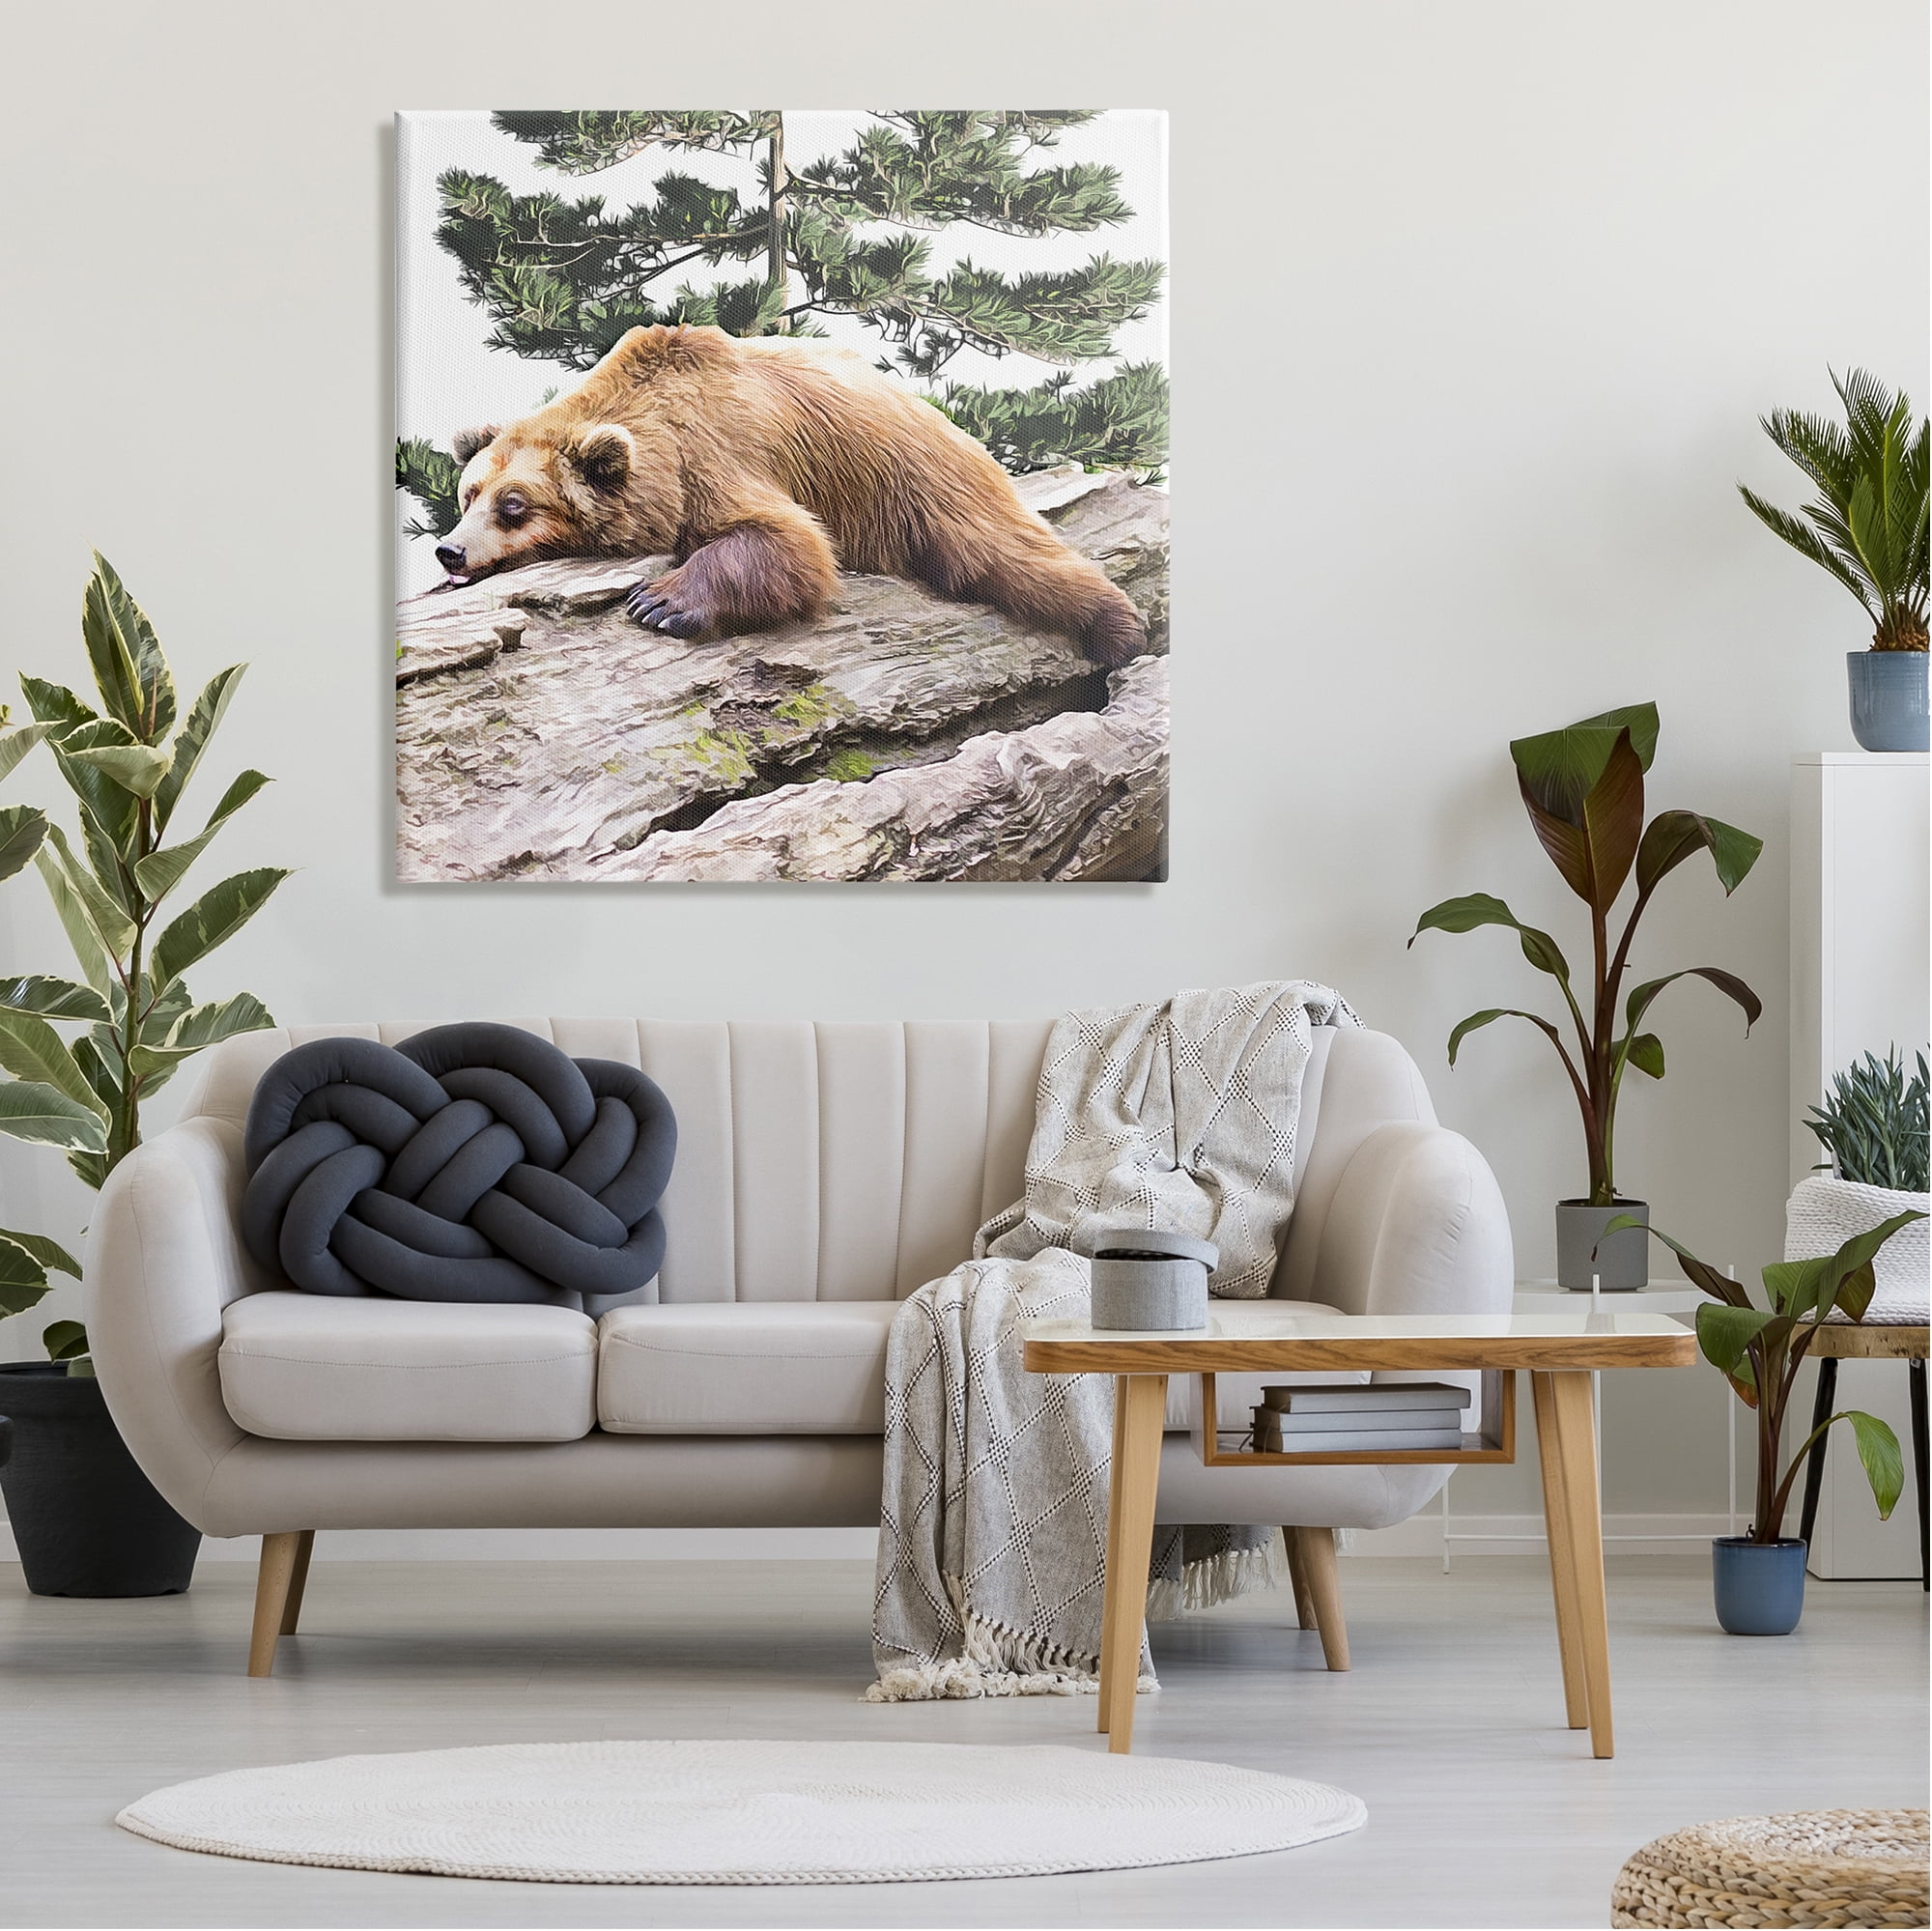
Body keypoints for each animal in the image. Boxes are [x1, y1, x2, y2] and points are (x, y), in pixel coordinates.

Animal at [435, 325, 1147, 669]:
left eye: (515, 505)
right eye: (469, 493)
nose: (450, 551)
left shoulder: (720, 451)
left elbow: (788, 540)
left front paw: (660, 603)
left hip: (916, 477)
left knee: (1003, 553)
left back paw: (1120, 628)